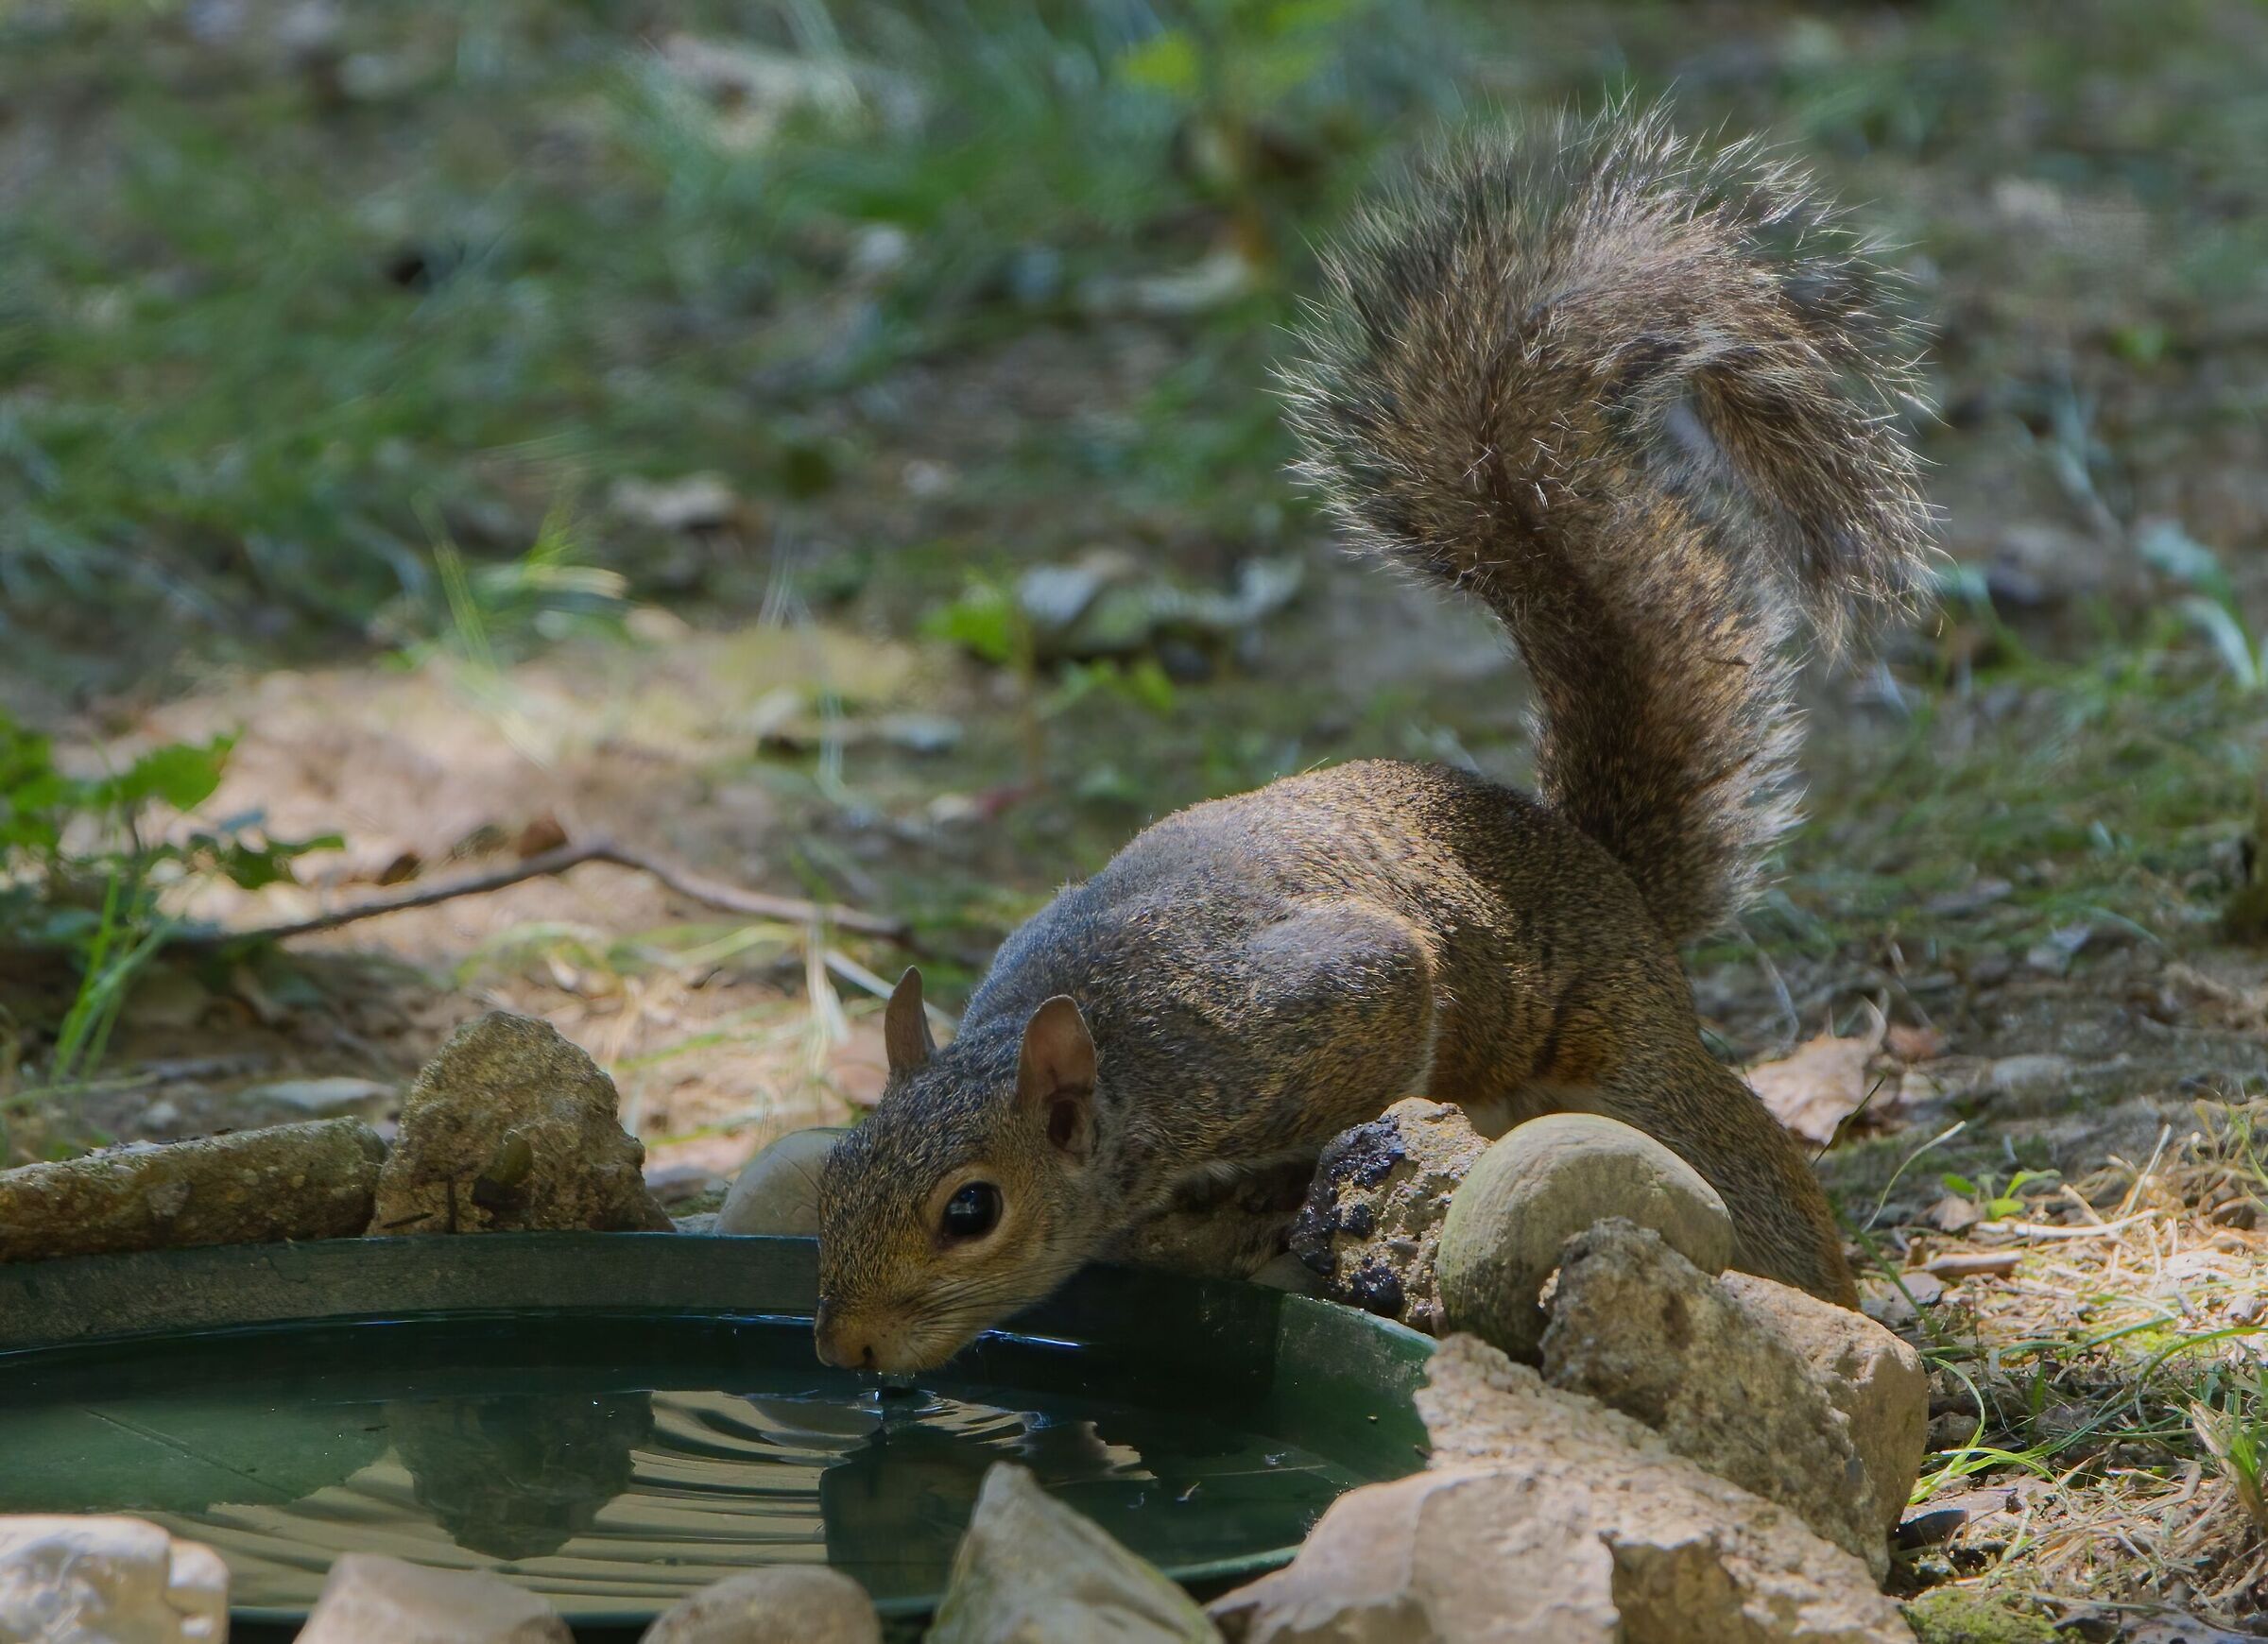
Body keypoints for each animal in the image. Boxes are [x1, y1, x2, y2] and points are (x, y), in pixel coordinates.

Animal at [815, 106, 1933, 1375]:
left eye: (973, 1209)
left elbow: (1376, 1032)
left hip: (1624, 1071)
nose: (843, 1350)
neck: (1115, 1062)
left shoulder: (1310, 1016)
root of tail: (1602, 873)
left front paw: (1266, 1194)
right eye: (834, 1172)